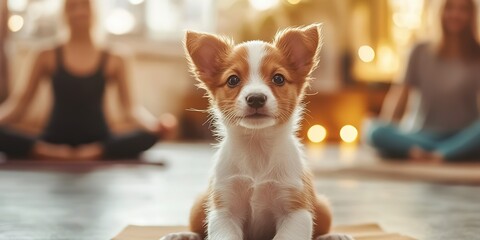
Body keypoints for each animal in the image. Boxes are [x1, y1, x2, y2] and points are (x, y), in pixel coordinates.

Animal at [161, 24, 352, 240]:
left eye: (278, 78)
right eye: (233, 80)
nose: (256, 98)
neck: (257, 146)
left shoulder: (295, 211)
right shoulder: (224, 210)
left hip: (323, 207)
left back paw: (334, 235)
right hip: (199, 204)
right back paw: (183, 234)